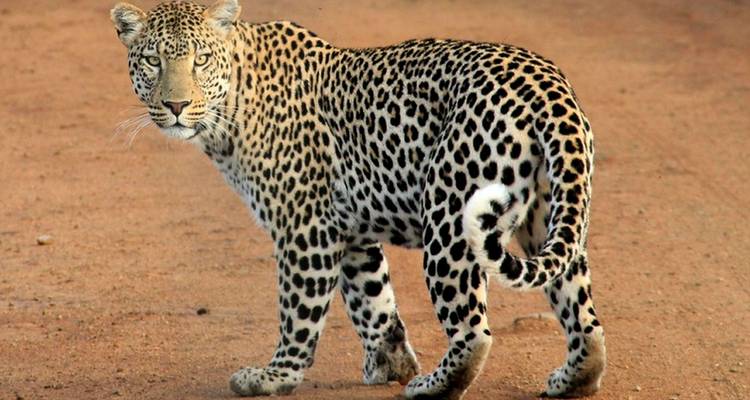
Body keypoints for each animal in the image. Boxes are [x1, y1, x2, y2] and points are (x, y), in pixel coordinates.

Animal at [111, 0, 606, 398]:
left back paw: (432, 386)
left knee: (473, 332)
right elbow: (373, 301)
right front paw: (390, 363)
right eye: (153, 60)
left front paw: (276, 376)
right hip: (550, 216)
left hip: (450, 218)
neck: (232, 104)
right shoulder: (349, 230)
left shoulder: (305, 227)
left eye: (201, 60)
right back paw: (573, 379)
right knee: (583, 316)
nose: (176, 106)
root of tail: (548, 86)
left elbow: (299, 310)